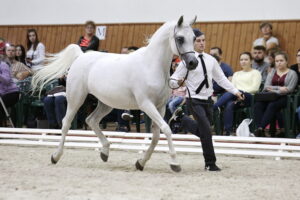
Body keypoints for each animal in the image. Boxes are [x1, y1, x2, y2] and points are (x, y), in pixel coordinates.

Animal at [31, 16, 198, 172]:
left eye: (194, 38)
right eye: (180, 38)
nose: (193, 63)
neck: (151, 66)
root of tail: (81, 56)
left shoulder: (161, 107)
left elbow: (156, 136)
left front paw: (141, 162)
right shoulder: (146, 105)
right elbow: (167, 130)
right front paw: (175, 163)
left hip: (105, 104)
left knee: (91, 120)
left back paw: (105, 152)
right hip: (76, 98)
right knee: (66, 123)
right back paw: (56, 156)